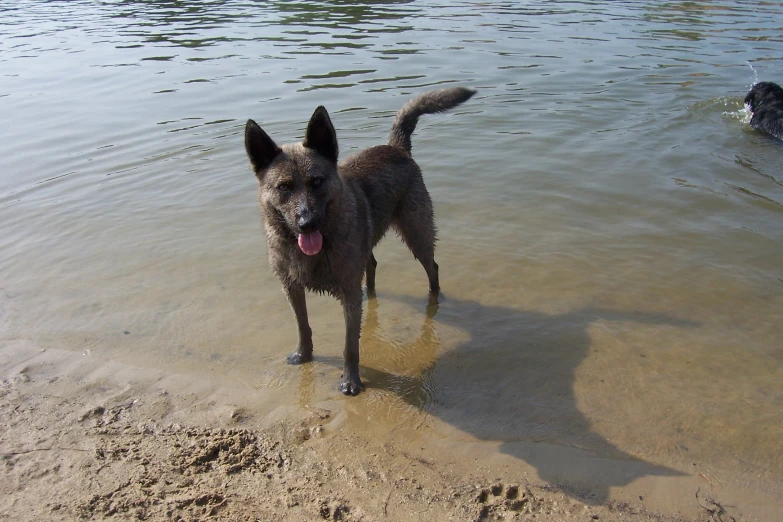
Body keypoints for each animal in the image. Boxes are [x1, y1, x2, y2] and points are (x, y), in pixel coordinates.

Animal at [245, 86, 478, 394]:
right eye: (284, 187)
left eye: (317, 181)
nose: (307, 223)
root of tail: (395, 147)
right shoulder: (292, 288)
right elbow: (302, 325)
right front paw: (303, 355)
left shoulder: (348, 296)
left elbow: (350, 346)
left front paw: (350, 381)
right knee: (373, 266)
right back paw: (372, 291)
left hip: (417, 234)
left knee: (433, 269)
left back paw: (433, 299)